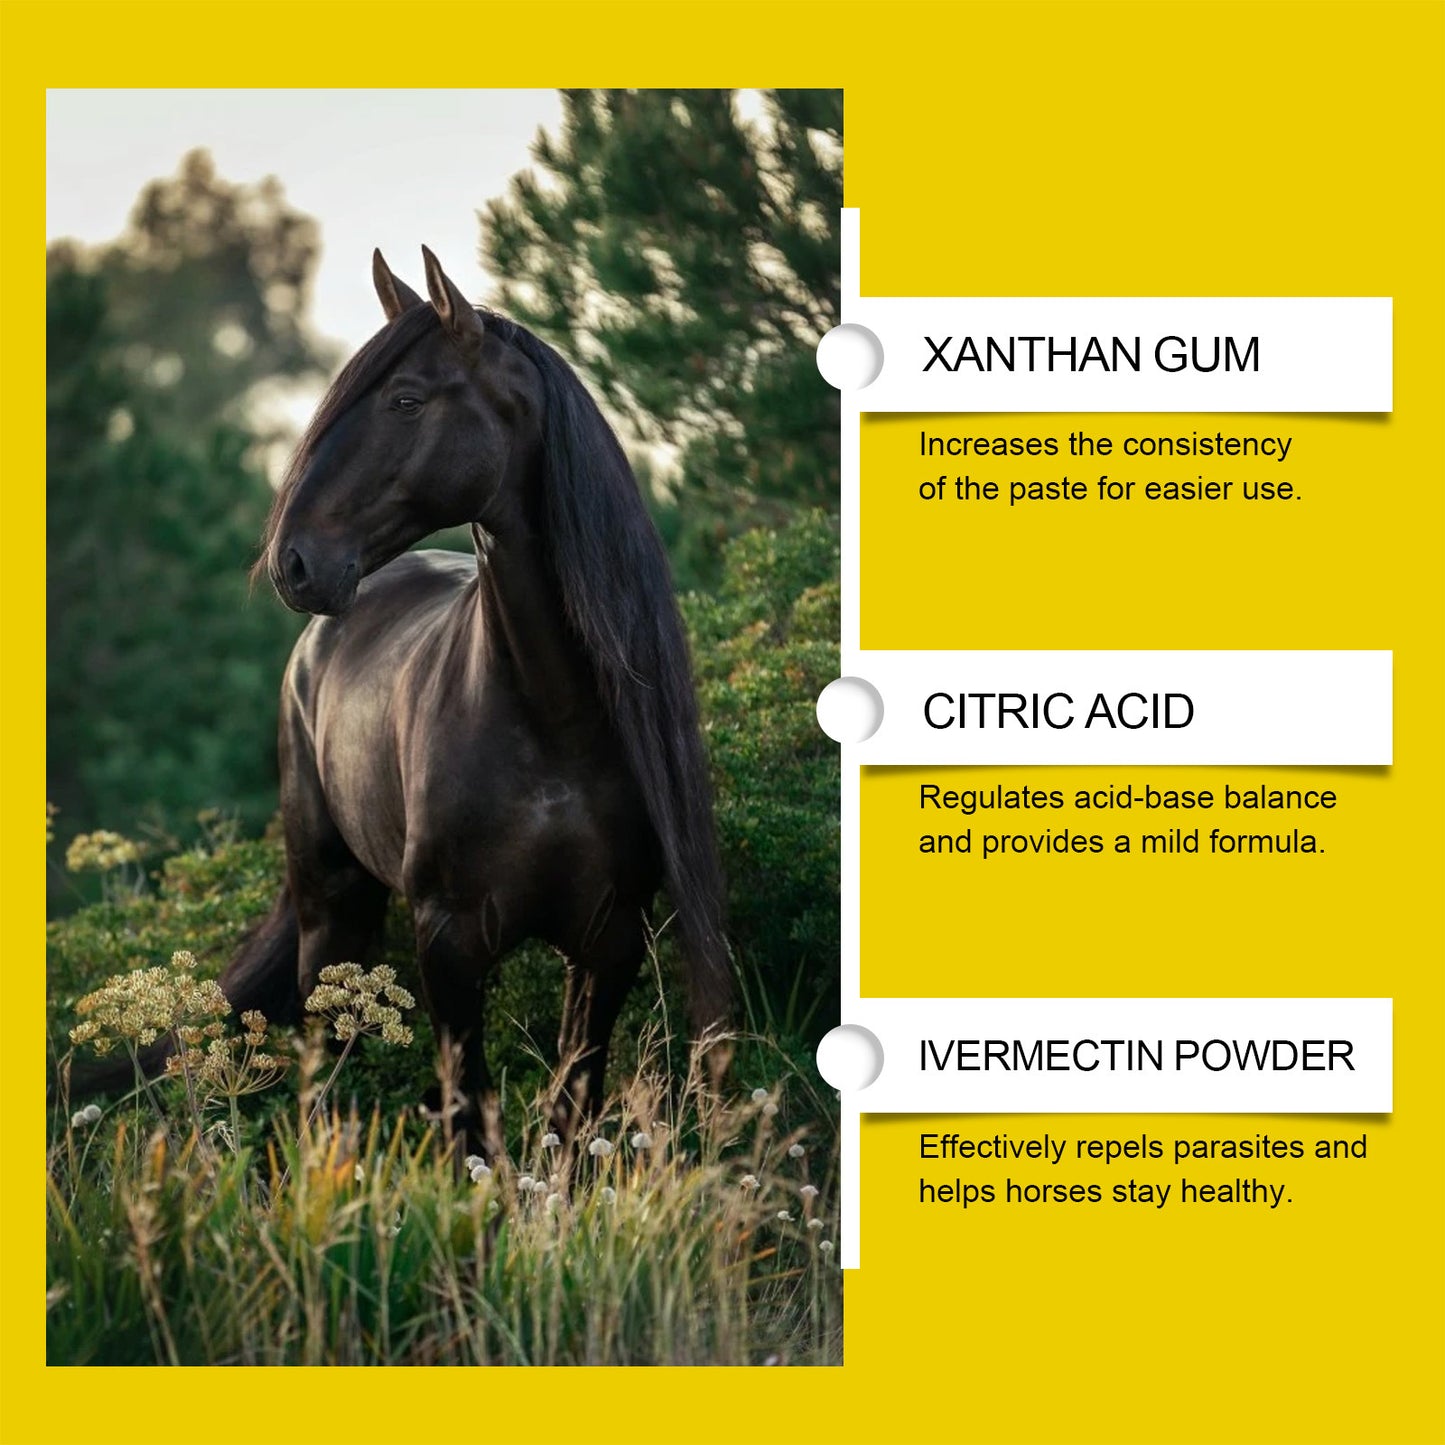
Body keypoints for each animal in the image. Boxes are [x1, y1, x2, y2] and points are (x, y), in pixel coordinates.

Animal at [213, 247, 730, 1147]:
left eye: (407, 399)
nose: (295, 563)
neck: (552, 720)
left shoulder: (609, 941)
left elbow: (570, 1108)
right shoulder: (449, 941)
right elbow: (468, 1118)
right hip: (331, 909)